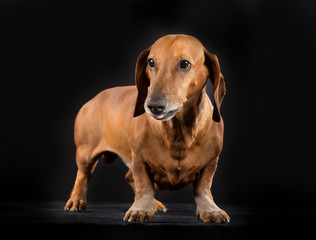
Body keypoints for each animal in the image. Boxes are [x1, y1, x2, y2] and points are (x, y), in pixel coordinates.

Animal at [64, 34, 230, 223]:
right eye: (151, 62)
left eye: (184, 64)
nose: (153, 106)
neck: (178, 132)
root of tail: (94, 98)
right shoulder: (139, 159)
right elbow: (145, 186)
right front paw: (141, 210)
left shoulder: (211, 161)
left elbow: (203, 188)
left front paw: (211, 210)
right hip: (85, 154)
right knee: (83, 176)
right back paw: (76, 201)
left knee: (128, 177)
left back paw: (155, 204)